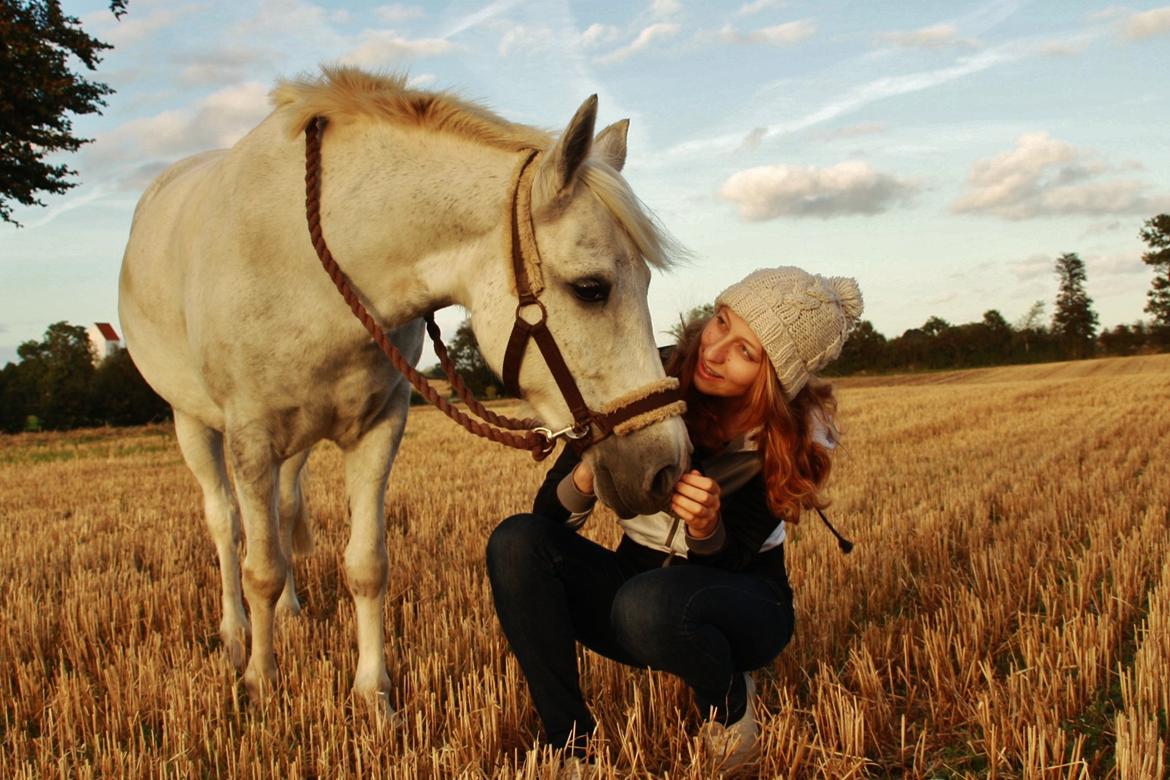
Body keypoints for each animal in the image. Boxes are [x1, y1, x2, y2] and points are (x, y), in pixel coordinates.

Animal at [118, 67, 691, 713]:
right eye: (592, 288)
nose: (667, 466)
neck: (311, 264)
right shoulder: (251, 437)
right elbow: (258, 567)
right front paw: (262, 684)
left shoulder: (377, 428)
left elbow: (366, 565)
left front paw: (374, 695)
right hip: (192, 423)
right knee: (227, 525)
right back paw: (237, 633)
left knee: (284, 512)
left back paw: (290, 611)